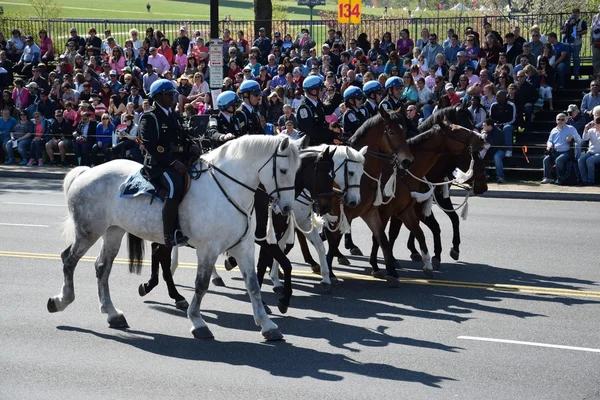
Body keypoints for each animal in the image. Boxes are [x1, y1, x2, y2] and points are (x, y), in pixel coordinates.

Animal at [48, 135, 300, 340]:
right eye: (283, 170)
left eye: (297, 170)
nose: (287, 208)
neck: (228, 189)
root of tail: (87, 171)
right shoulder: (208, 249)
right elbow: (201, 285)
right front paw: (198, 322)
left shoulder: (243, 247)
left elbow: (253, 285)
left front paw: (267, 325)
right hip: (89, 231)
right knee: (69, 260)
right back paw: (61, 300)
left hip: (113, 231)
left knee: (102, 267)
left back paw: (112, 313)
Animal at [324, 104, 418, 282]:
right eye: (391, 132)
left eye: (404, 130)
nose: (407, 161)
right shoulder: (341, 213)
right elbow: (334, 241)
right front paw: (330, 273)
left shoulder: (370, 211)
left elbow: (382, 238)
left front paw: (389, 271)